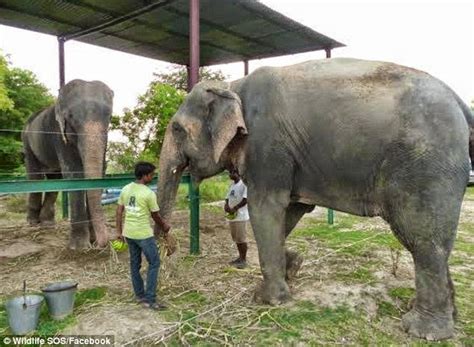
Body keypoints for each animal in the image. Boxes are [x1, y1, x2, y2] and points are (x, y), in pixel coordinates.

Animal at [22, 79, 114, 250]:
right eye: (70, 117)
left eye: (110, 117)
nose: (100, 244)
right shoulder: (57, 132)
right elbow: (74, 172)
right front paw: (79, 247)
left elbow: (101, 171)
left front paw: (92, 241)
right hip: (27, 141)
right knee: (35, 175)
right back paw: (33, 223)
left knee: (54, 178)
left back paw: (47, 223)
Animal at [157, 57, 472, 340]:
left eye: (176, 129)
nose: (168, 253)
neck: (233, 85)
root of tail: (460, 102)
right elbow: (292, 209)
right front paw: (294, 266)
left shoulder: (266, 145)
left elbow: (266, 207)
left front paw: (268, 300)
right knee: (431, 243)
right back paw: (446, 316)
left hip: (425, 166)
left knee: (421, 238)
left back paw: (423, 330)